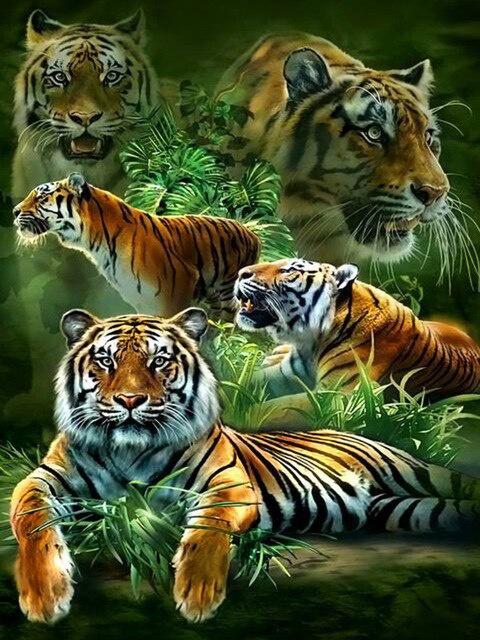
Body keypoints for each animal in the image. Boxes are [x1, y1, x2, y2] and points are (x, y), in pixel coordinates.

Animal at [10, 307, 480, 623]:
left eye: (159, 361)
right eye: (106, 360)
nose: (130, 400)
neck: (129, 451)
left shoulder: (230, 485)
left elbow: (208, 526)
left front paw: (198, 594)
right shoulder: (43, 479)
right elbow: (30, 519)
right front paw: (44, 596)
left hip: (421, 473)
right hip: (404, 508)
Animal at [13, 173, 260, 316]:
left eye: (41, 197)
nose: (14, 211)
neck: (95, 243)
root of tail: (252, 233)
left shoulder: (177, 288)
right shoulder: (143, 302)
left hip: (228, 294)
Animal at [234, 258, 480, 416]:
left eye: (289, 270)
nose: (240, 273)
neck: (311, 342)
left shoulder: (338, 395)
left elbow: (276, 407)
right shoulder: (284, 374)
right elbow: (244, 380)